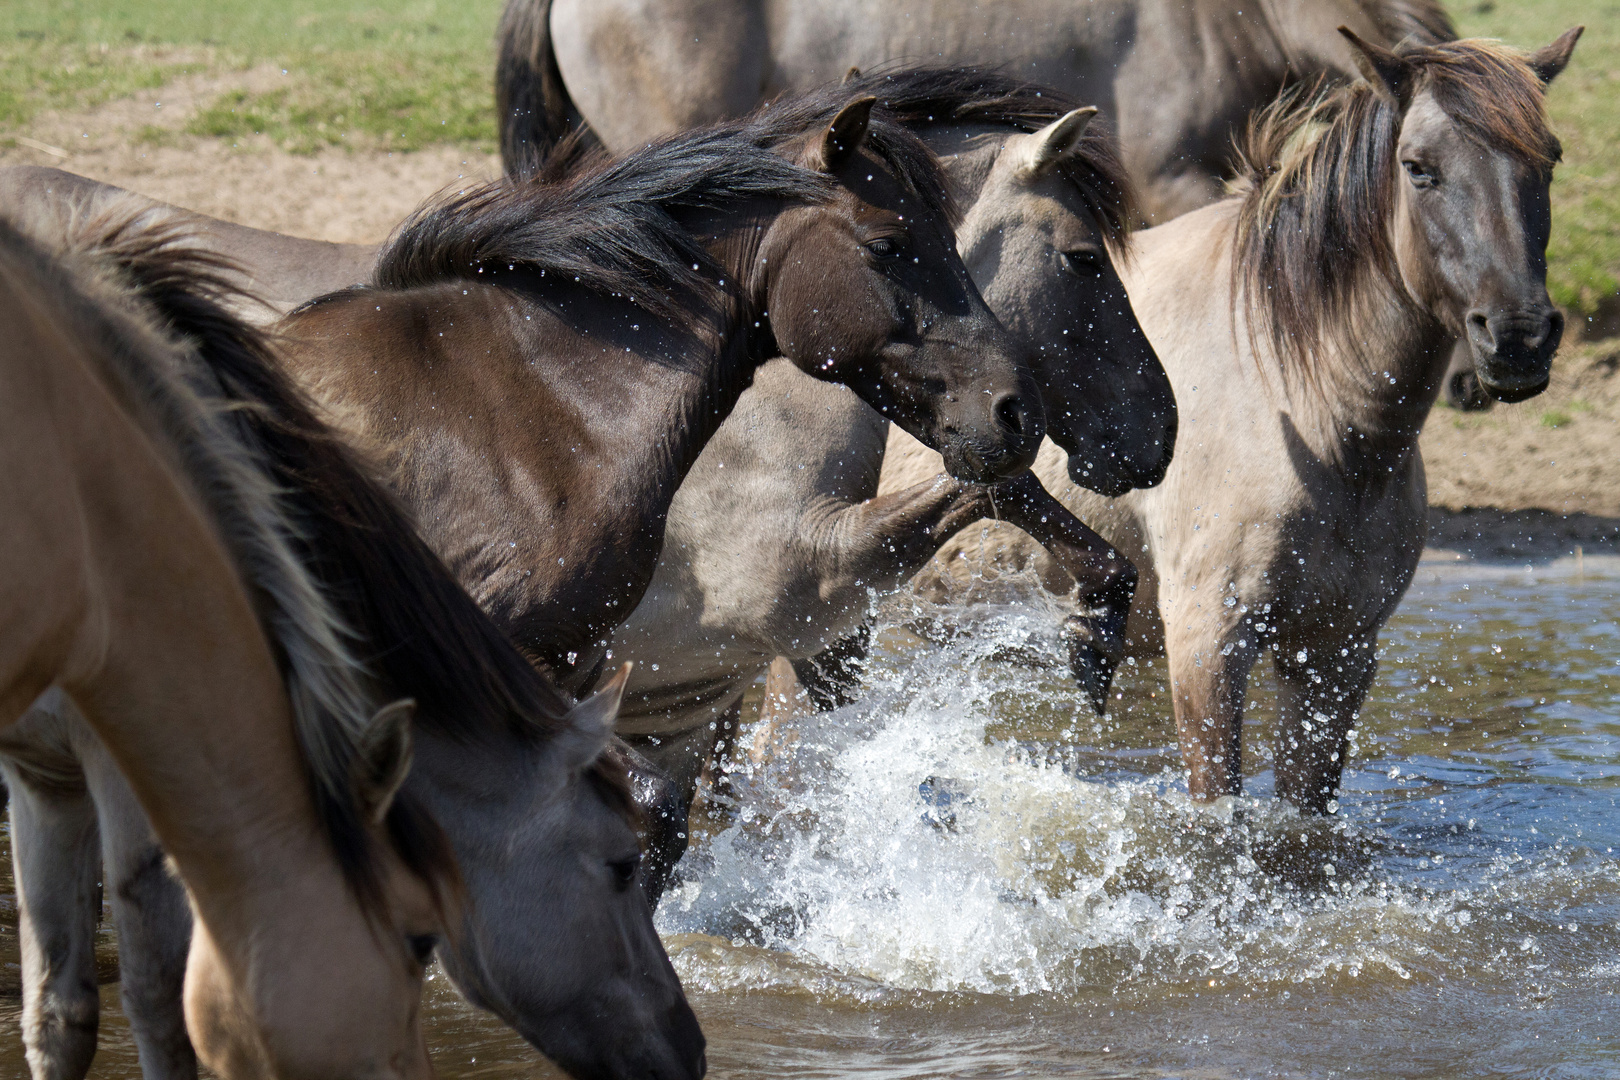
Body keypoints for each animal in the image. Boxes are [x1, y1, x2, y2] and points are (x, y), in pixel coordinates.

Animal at [0, 208, 703, 1080]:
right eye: (621, 863)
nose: (688, 1046)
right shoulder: (127, 762)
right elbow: (158, 1004)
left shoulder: (45, 778)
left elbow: (59, 1014)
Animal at [609, 67, 1166, 841]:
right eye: (1083, 259)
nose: (1160, 430)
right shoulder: (807, 581)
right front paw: (1094, 634)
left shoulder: (786, 669)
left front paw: (1095, 629)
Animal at [887, 27, 1581, 809]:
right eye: (1419, 168)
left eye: (1548, 159)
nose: (1519, 337)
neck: (1308, 412)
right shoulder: (1208, 648)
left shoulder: (1336, 658)